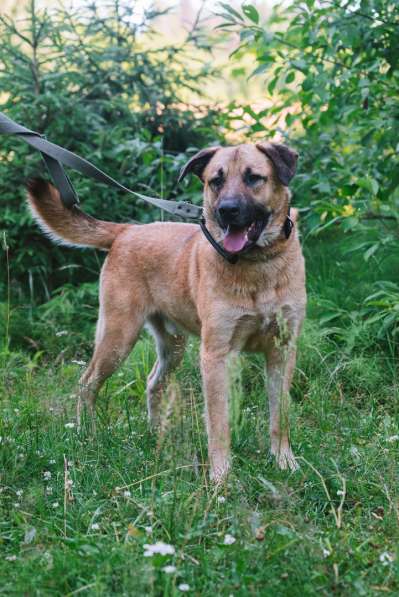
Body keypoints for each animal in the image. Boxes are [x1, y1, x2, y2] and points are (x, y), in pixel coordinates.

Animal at [27, 142, 306, 482]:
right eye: (216, 181)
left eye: (254, 177)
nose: (226, 211)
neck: (258, 265)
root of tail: (126, 231)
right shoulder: (216, 355)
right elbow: (219, 424)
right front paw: (221, 477)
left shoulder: (282, 350)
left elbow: (280, 416)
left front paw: (284, 462)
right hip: (118, 337)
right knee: (87, 382)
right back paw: (85, 436)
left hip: (172, 347)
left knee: (152, 383)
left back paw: (156, 436)